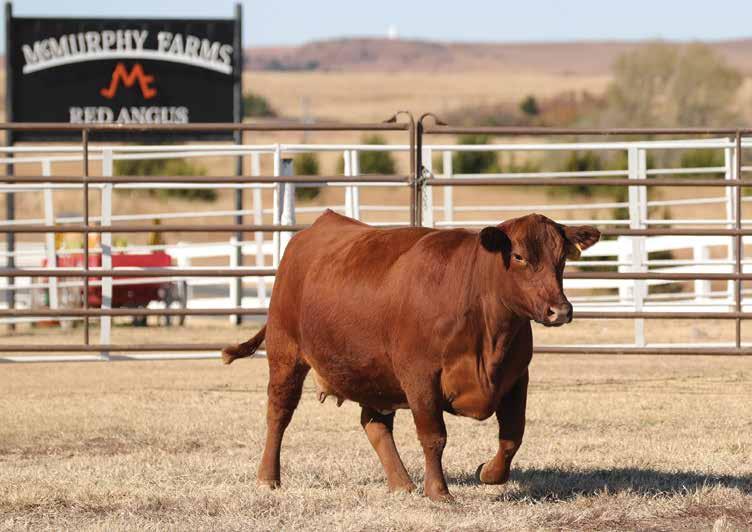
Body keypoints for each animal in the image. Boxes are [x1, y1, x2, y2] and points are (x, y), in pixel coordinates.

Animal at [222, 210, 600, 501]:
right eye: (519, 256)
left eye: (561, 259)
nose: (560, 310)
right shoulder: (420, 377)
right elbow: (434, 437)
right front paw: (439, 492)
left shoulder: (516, 377)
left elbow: (512, 436)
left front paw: (488, 473)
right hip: (285, 353)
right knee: (279, 414)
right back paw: (268, 477)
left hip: (374, 374)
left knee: (374, 424)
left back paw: (401, 484)